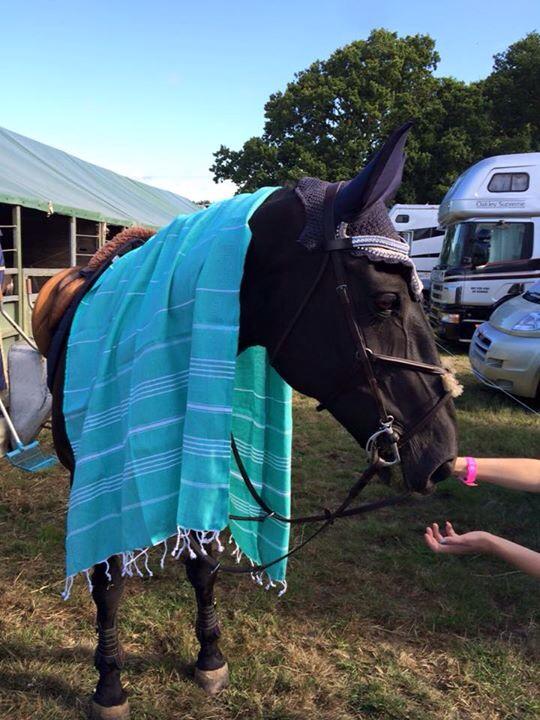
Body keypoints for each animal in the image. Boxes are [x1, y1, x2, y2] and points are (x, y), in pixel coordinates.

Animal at [33, 124, 458, 719]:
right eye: (386, 300)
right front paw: (109, 684)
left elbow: (205, 564)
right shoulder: (100, 476)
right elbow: (108, 579)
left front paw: (210, 657)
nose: (442, 454)